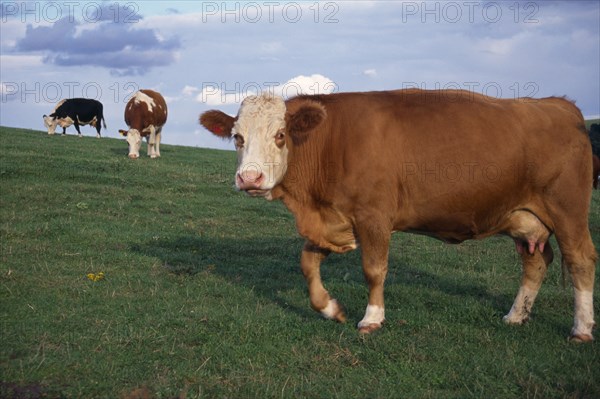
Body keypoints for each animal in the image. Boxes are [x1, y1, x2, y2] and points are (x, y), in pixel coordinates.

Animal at [200, 90, 596, 344]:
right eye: (237, 138)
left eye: (280, 135)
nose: (250, 178)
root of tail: (561, 106)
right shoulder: (334, 220)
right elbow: (307, 263)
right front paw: (329, 308)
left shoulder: (373, 216)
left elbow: (374, 269)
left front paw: (372, 319)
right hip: (523, 217)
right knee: (535, 261)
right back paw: (516, 315)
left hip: (568, 211)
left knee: (581, 260)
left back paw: (582, 328)